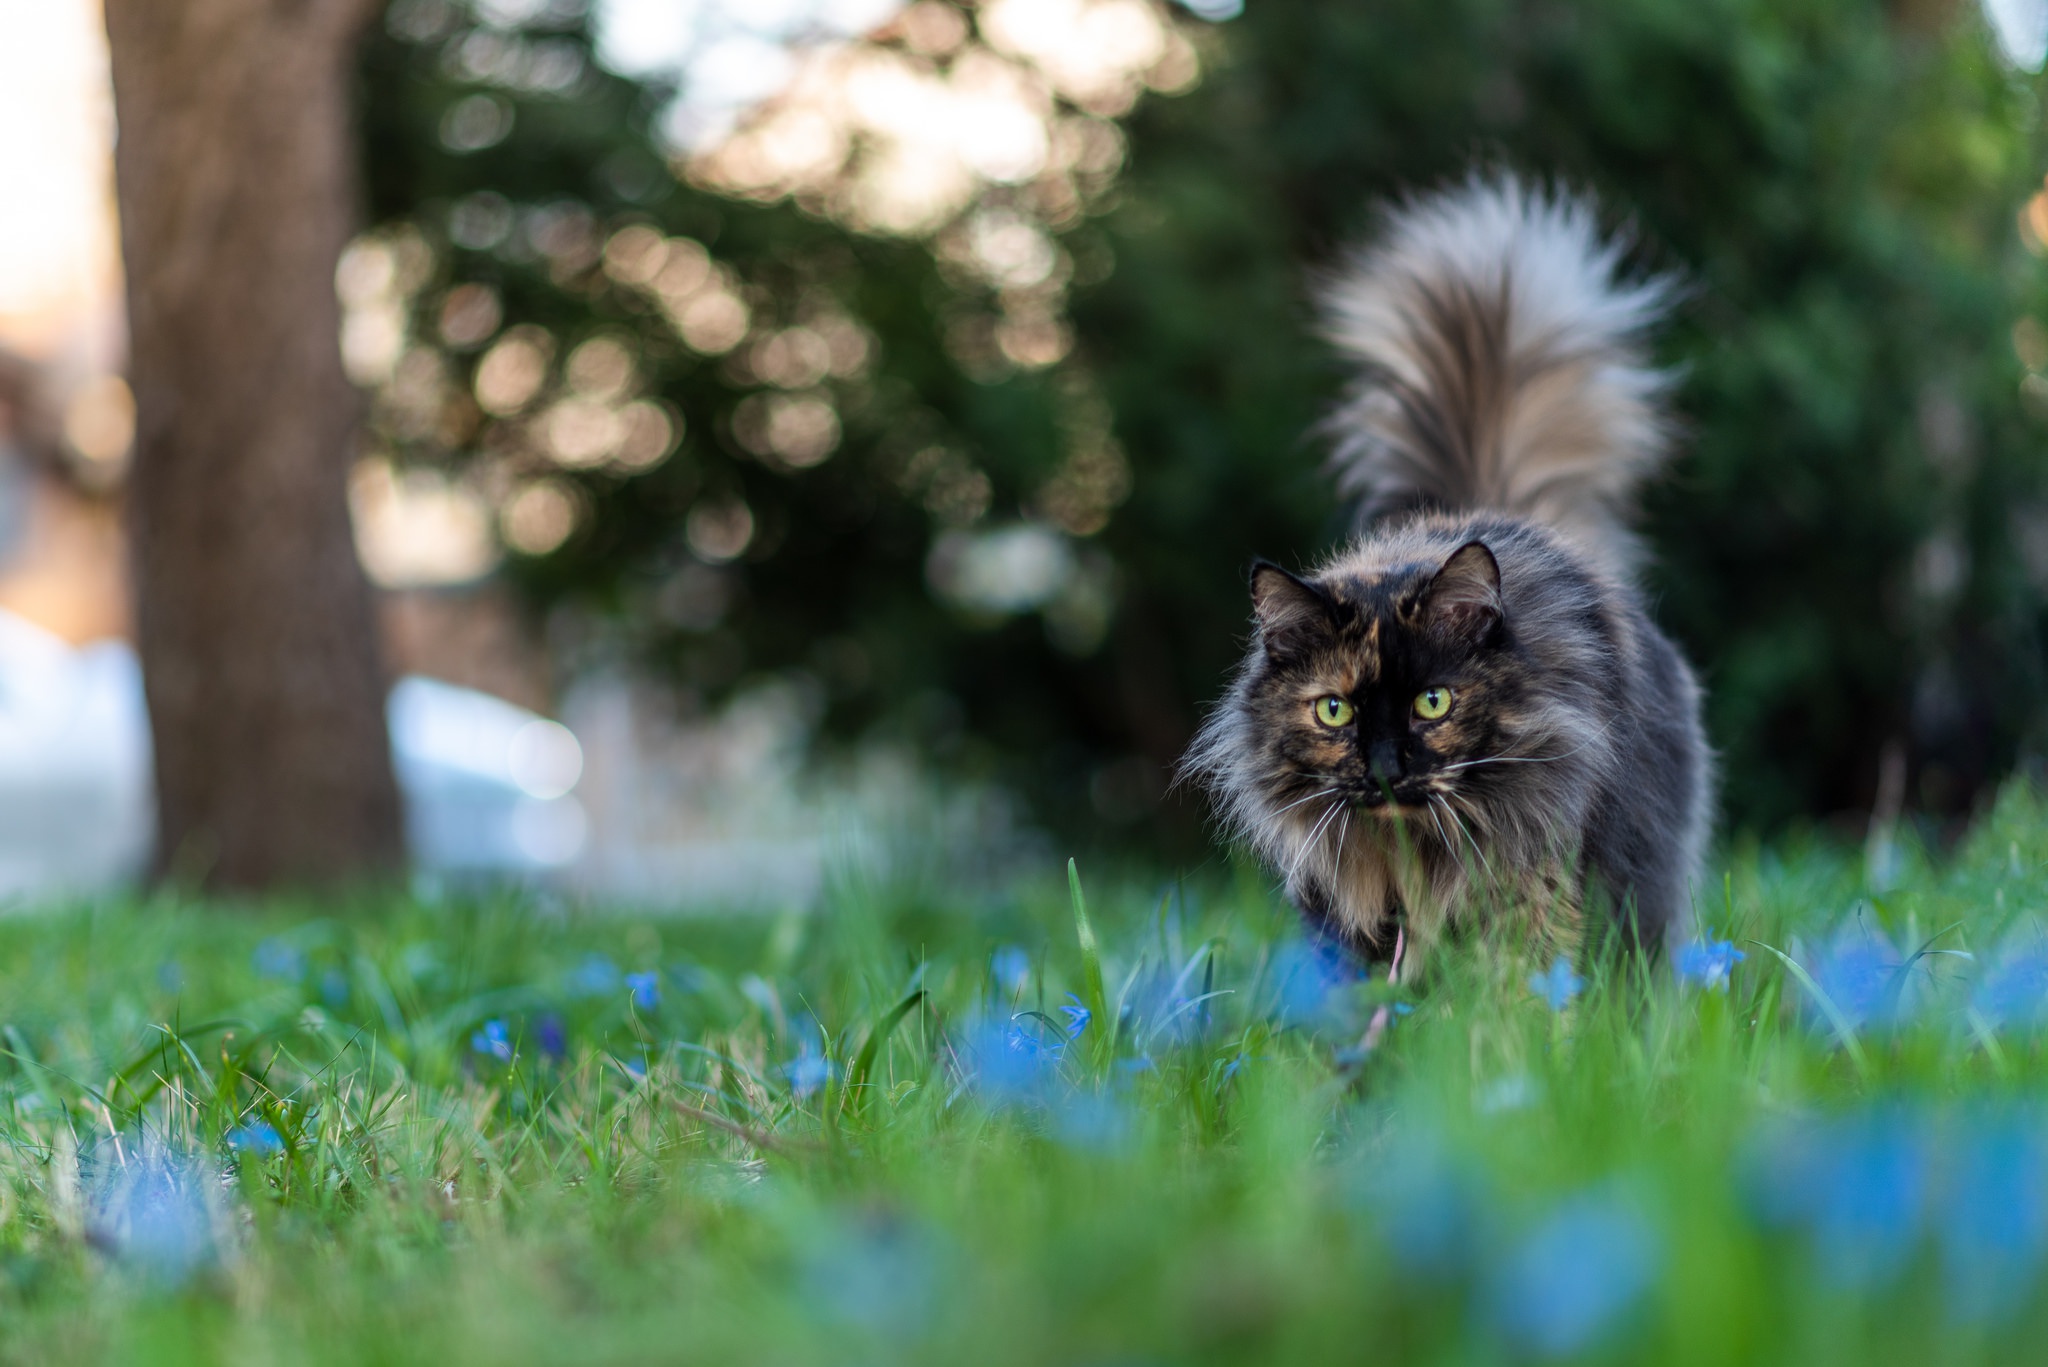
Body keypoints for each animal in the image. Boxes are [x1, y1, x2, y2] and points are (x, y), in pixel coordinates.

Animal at [1179, 176, 1720, 967]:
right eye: (1334, 710)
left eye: (1433, 702)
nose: (1383, 768)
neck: (1413, 849)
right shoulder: (1348, 915)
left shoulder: (1538, 874)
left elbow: (1528, 978)